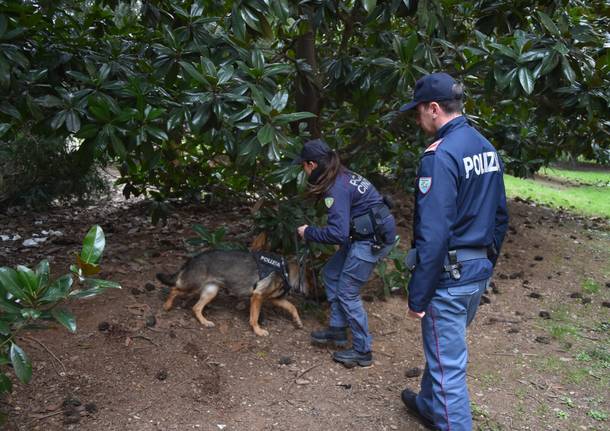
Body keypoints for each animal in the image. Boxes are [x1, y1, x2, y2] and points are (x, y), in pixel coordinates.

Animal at [154, 250, 306, 338]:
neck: (285, 271)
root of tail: (193, 259)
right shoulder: (257, 296)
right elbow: (254, 317)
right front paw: (257, 330)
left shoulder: (272, 299)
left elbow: (292, 307)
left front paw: (298, 321)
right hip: (194, 286)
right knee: (175, 289)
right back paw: (167, 306)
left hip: (211, 291)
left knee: (195, 307)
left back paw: (205, 322)